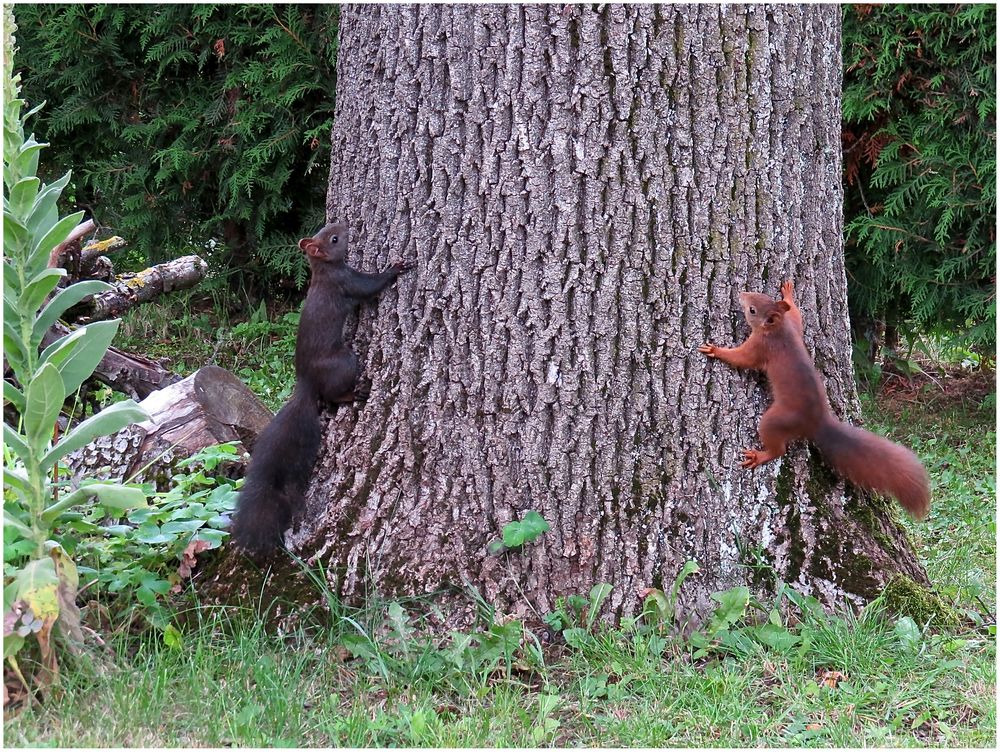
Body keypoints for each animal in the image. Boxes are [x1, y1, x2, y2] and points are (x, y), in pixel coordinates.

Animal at [231, 220, 414, 556]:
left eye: (329, 230)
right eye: (335, 239)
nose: (347, 223)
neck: (322, 269)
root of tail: (305, 382)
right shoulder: (346, 281)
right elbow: (369, 287)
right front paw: (395, 268)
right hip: (344, 363)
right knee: (332, 396)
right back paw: (354, 394)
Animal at [700, 280, 924, 520]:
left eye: (752, 310)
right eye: (759, 294)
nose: (741, 294)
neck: (778, 330)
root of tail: (816, 423)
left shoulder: (760, 346)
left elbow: (742, 359)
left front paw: (715, 350)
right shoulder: (793, 327)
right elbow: (797, 316)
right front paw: (789, 295)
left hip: (776, 420)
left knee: (779, 449)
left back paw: (760, 456)